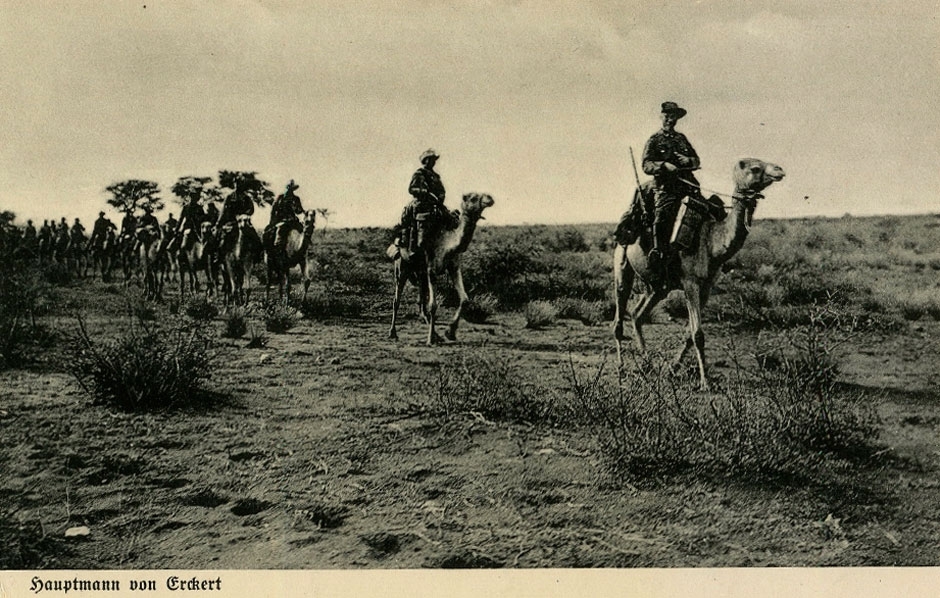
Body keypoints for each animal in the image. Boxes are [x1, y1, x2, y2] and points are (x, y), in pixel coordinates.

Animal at [388, 193, 496, 346]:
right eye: (472, 197)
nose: (490, 198)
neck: (447, 244)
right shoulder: (432, 270)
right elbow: (433, 305)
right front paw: (430, 339)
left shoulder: (454, 267)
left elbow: (465, 299)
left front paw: (449, 333)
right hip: (402, 266)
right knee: (396, 300)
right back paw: (393, 333)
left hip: (420, 272)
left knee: (421, 301)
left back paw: (435, 332)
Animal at [608, 159, 784, 392]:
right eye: (755, 168)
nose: (779, 170)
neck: (712, 242)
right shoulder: (690, 282)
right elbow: (698, 334)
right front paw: (705, 382)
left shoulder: (707, 285)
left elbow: (689, 335)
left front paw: (672, 368)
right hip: (622, 264)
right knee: (619, 317)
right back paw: (621, 368)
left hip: (658, 285)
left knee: (638, 314)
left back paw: (648, 364)